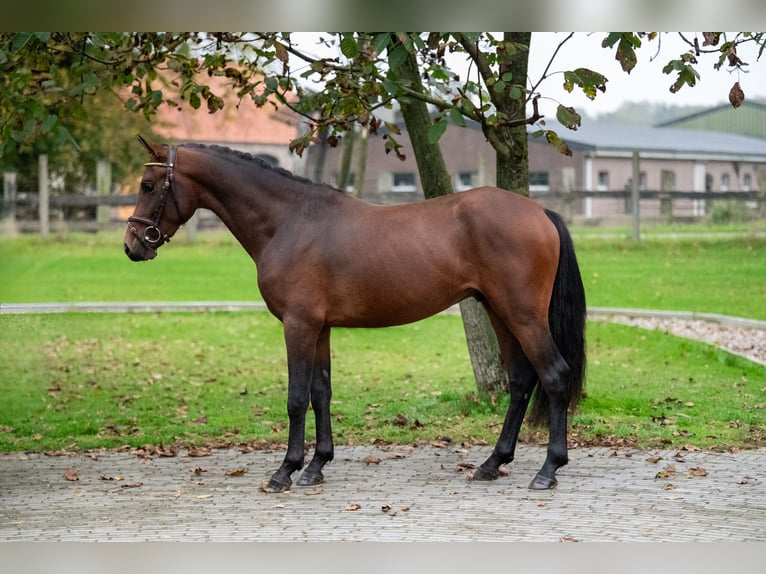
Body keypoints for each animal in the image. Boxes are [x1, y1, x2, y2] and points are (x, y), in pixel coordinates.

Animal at [126, 137, 588, 492]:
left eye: (148, 185)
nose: (133, 246)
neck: (291, 222)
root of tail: (539, 212)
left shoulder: (298, 325)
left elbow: (296, 398)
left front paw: (285, 471)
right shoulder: (320, 328)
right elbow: (321, 392)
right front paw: (315, 466)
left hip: (523, 315)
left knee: (554, 377)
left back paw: (548, 470)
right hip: (499, 312)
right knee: (521, 381)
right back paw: (492, 463)